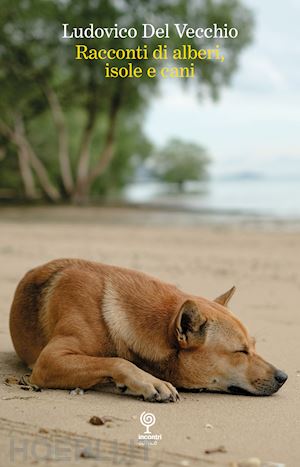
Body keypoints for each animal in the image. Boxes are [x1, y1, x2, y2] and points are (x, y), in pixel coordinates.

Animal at [8, 260, 286, 402]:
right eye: (240, 351)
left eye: (254, 345)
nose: (284, 376)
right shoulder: (49, 360)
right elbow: (117, 360)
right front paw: (149, 381)